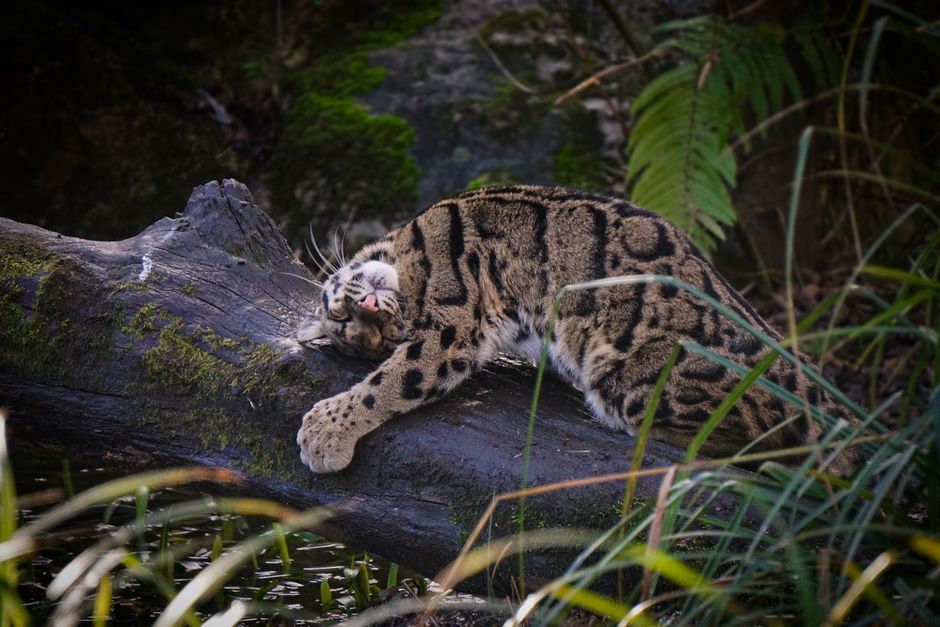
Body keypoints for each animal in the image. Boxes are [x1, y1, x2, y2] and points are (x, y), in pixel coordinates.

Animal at [296, 185, 857, 474]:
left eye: (360, 325)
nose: (375, 311)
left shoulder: (452, 320)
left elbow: (393, 380)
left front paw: (325, 430)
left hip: (629, 377)